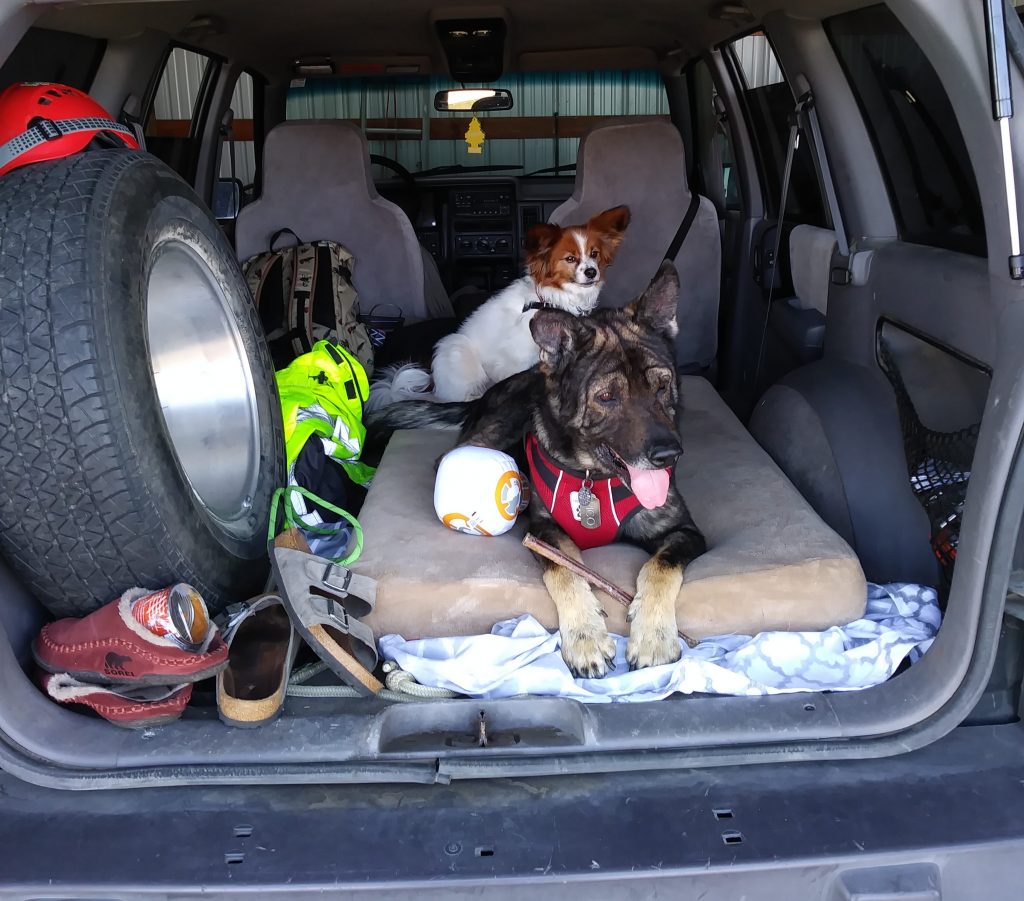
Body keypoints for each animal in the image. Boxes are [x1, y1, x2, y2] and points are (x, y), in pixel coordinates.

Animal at [366, 260, 704, 675]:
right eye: (607, 397)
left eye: (661, 385)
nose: (668, 455)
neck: (593, 476)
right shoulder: (544, 532)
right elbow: (566, 571)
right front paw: (586, 637)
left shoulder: (685, 531)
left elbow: (661, 568)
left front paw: (654, 636)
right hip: (500, 424)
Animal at [368, 205, 622, 407]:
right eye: (570, 259)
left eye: (594, 254)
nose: (591, 272)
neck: (552, 300)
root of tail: (435, 389)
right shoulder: (515, 358)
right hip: (457, 349)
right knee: (459, 397)